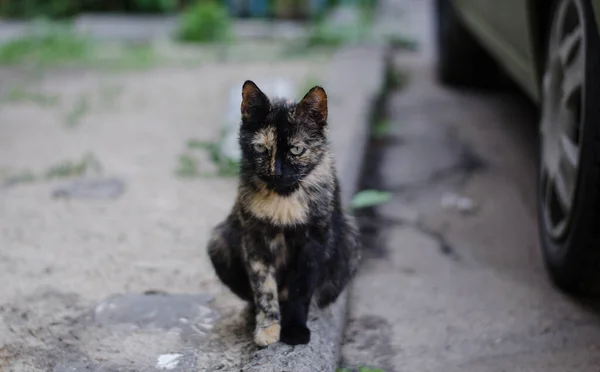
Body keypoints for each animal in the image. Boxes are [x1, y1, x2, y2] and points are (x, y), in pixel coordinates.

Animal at [206, 80, 360, 348]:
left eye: (296, 150)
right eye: (260, 147)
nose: (276, 172)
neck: (284, 198)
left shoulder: (314, 240)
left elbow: (302, 289)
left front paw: (295, 329)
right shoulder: (254, 240)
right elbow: (263, 288)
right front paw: (267, 329)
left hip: (348, 240)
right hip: (219, 241)